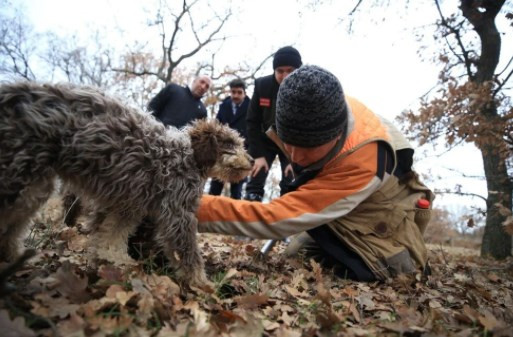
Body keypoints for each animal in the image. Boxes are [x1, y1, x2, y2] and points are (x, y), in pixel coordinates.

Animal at [0, 81, 252, 284]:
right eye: (230, 144)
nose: (252, 160)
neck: (187, 155)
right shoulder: (177, 212)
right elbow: (188, 254)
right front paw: (203, 285)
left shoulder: (129, 205)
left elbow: (112, 235)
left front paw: (113, 260)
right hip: (20, 178)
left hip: (34, 186)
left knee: (14, 227)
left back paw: (14, 257)